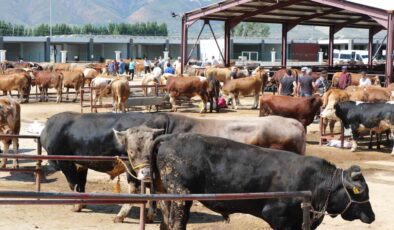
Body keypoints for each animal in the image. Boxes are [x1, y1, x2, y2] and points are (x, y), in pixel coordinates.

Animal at [114, 126, 376, 230]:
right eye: (361, 192)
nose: (372, 216)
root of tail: (170, 137)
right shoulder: (278, 217)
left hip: (168, 195)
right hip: (181, 196)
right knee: (177, 224)